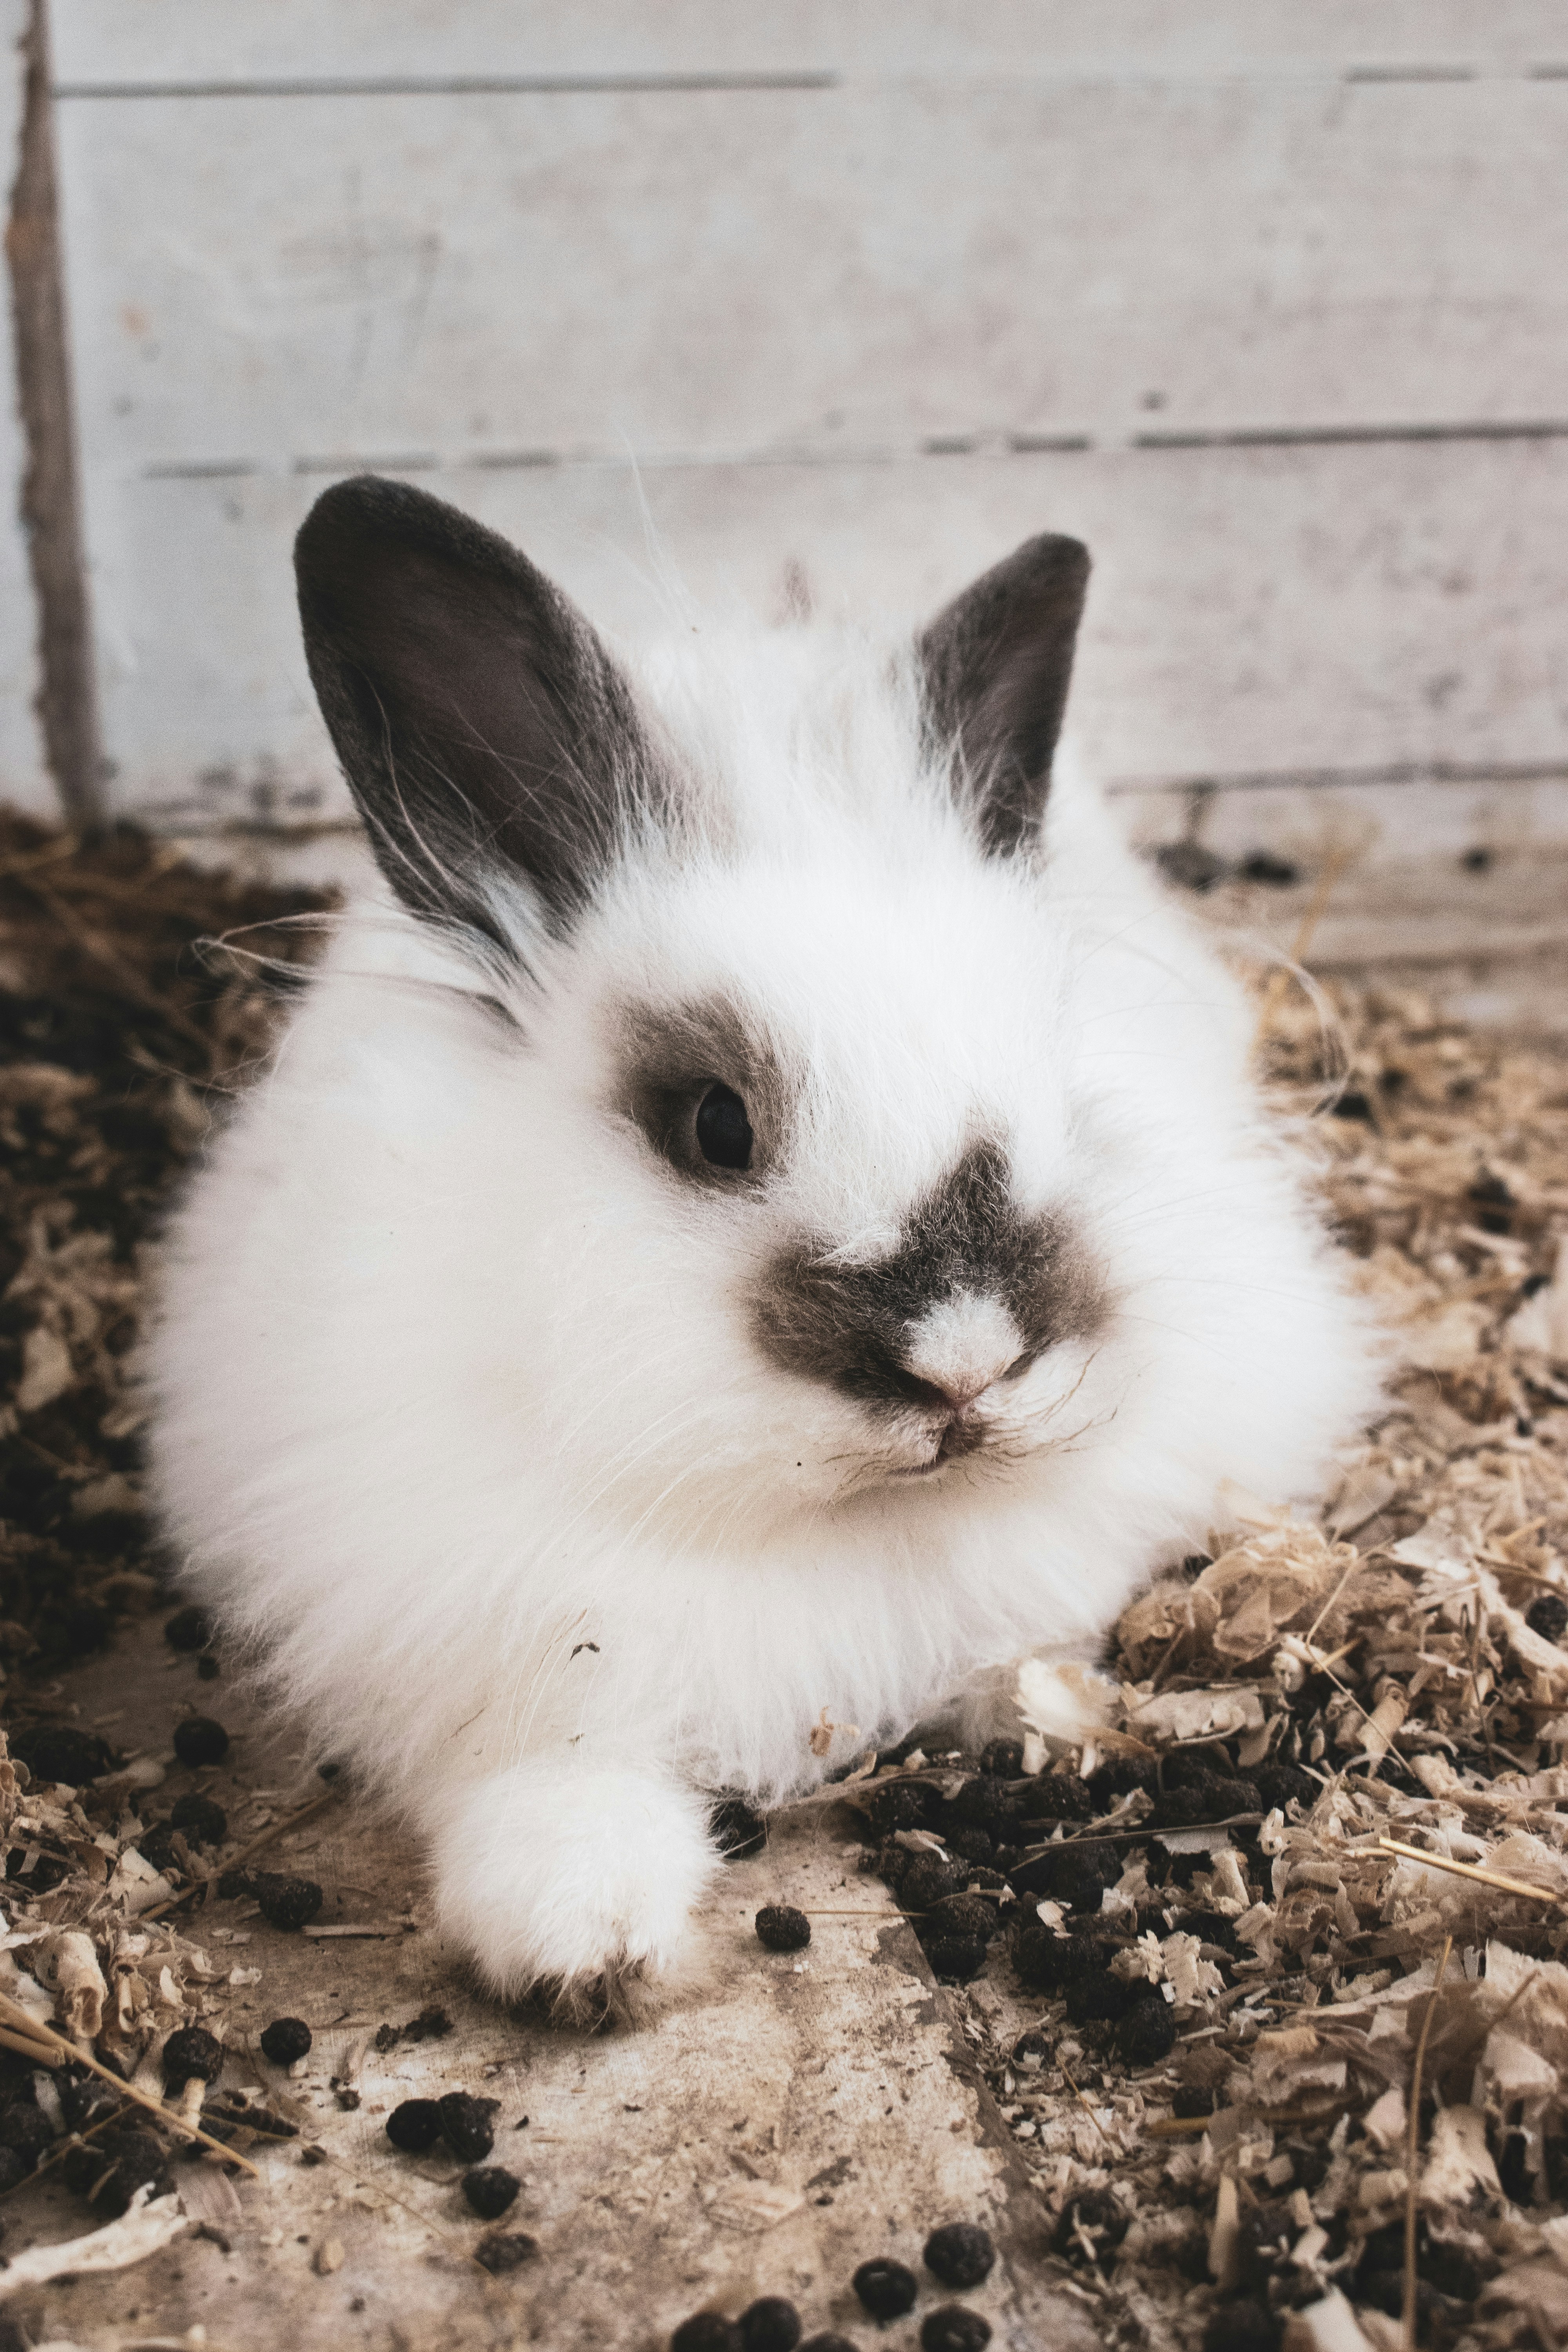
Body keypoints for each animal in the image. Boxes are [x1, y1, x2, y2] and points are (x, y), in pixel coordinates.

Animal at [145, 476, 1378, 2021]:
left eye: (1059, 1081)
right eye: (714, 1123)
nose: (967, 1364)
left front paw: (1058, 1722)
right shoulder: (505, 1641)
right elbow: (560, 1776)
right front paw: (579, 1945)